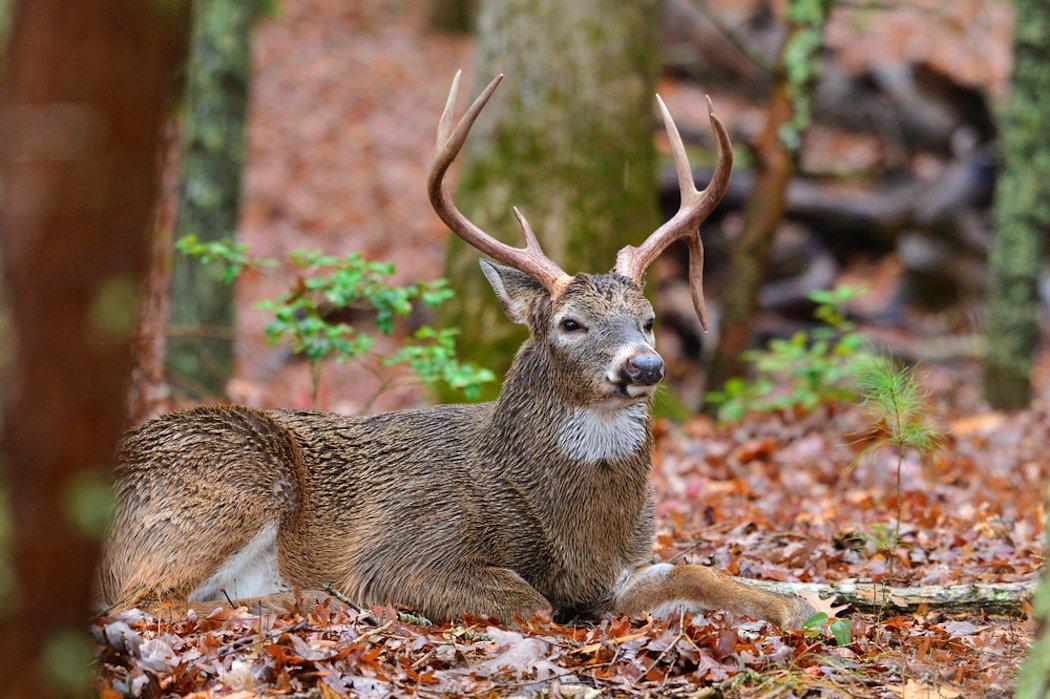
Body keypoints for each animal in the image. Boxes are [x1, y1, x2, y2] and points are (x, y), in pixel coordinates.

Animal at [98, 71, 814, 625]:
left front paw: (803, 601)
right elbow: (530, 600)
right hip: (232, 474)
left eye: (649, 320)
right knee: (141, 600)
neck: (575, 526)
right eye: (571, 324)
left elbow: (697, 573)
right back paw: (300, 600)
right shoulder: (402, 550)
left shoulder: (624, 564)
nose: (645, 365)